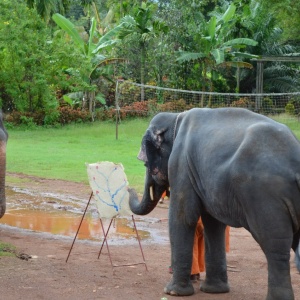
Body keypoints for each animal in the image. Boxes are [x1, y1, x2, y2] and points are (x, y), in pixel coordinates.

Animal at [129, 108, 300, 300]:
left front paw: (173, 292)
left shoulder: (180, 165)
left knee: (275, 247)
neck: (176, 117)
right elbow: (213, 223)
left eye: (145, 163)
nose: (129, 188)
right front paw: (214, 290)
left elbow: (184, 216)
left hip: (265, 196)